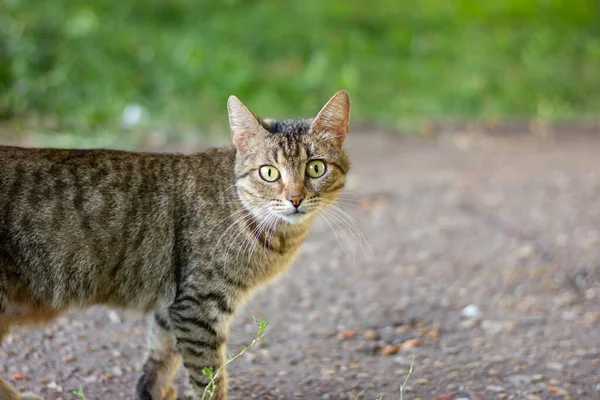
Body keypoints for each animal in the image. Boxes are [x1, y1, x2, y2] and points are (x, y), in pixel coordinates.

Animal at [0, 90, 352, 400]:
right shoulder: (199, 305)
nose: (295, 198)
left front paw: (152, 390)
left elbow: (161, 354)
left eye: (315, 168)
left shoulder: (174, 301)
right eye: (269, 172)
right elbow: (209, 378)